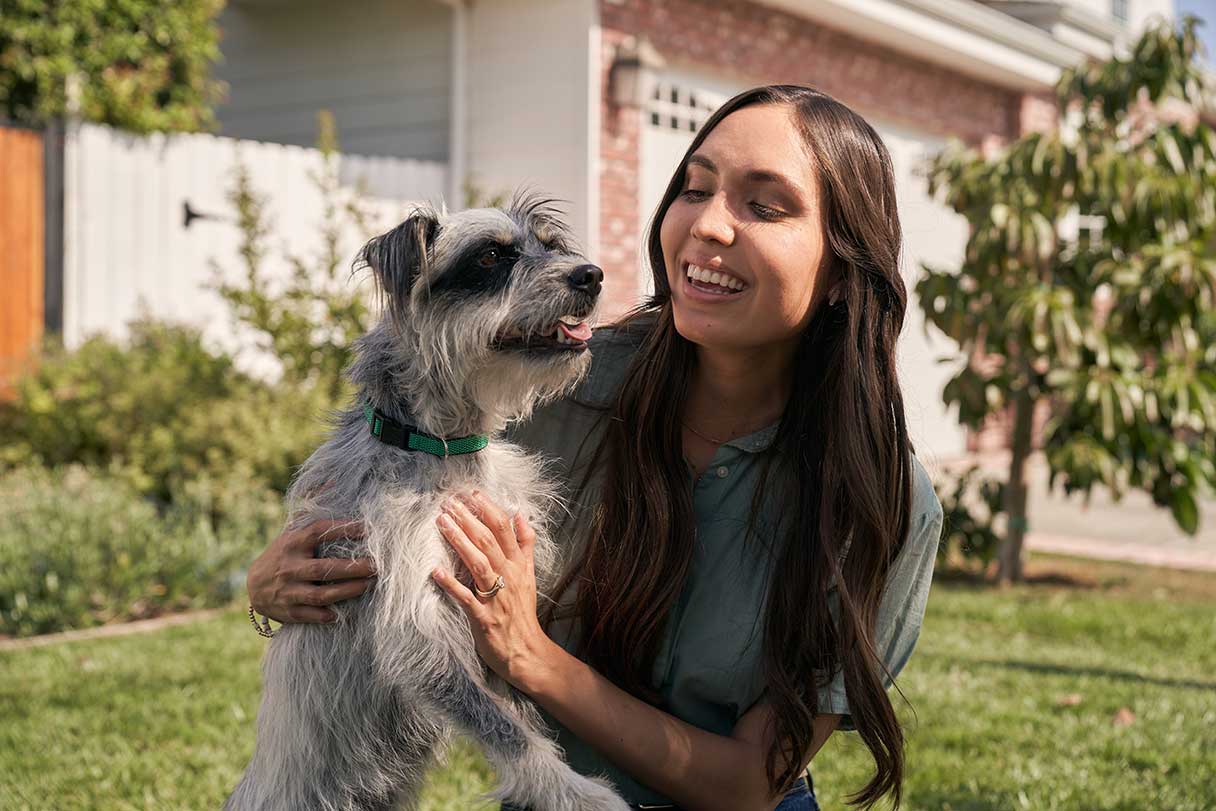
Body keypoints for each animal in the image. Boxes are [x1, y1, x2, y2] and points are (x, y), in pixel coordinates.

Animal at [224, 194, 627, 811]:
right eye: (490, 257)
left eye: (549, 246)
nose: (592, 275)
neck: (442, 449)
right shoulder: (411, 619)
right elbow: (507, 727)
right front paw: (570, 789)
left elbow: (517, 704)